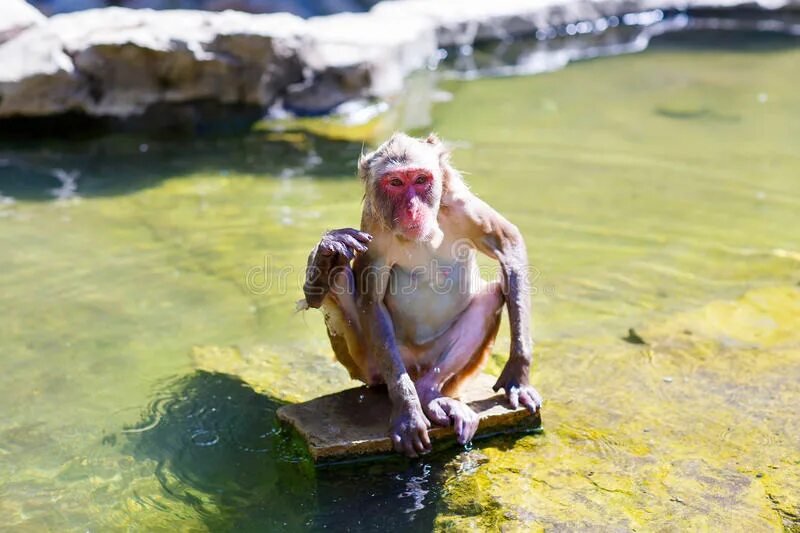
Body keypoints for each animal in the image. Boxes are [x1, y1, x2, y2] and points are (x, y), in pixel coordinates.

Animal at [302, 133, 544, 458]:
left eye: (420, 180)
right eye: (395, 183)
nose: (412, 208)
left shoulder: (460, 205)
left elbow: (508, 243)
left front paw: (518, 374)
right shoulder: (373, 229)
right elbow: (371, 301)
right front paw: (408, 413)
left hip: (446, 368)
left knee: (493, 294)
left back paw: (429, 393)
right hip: (367, 363)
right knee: (339, 277)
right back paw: (325, 261)